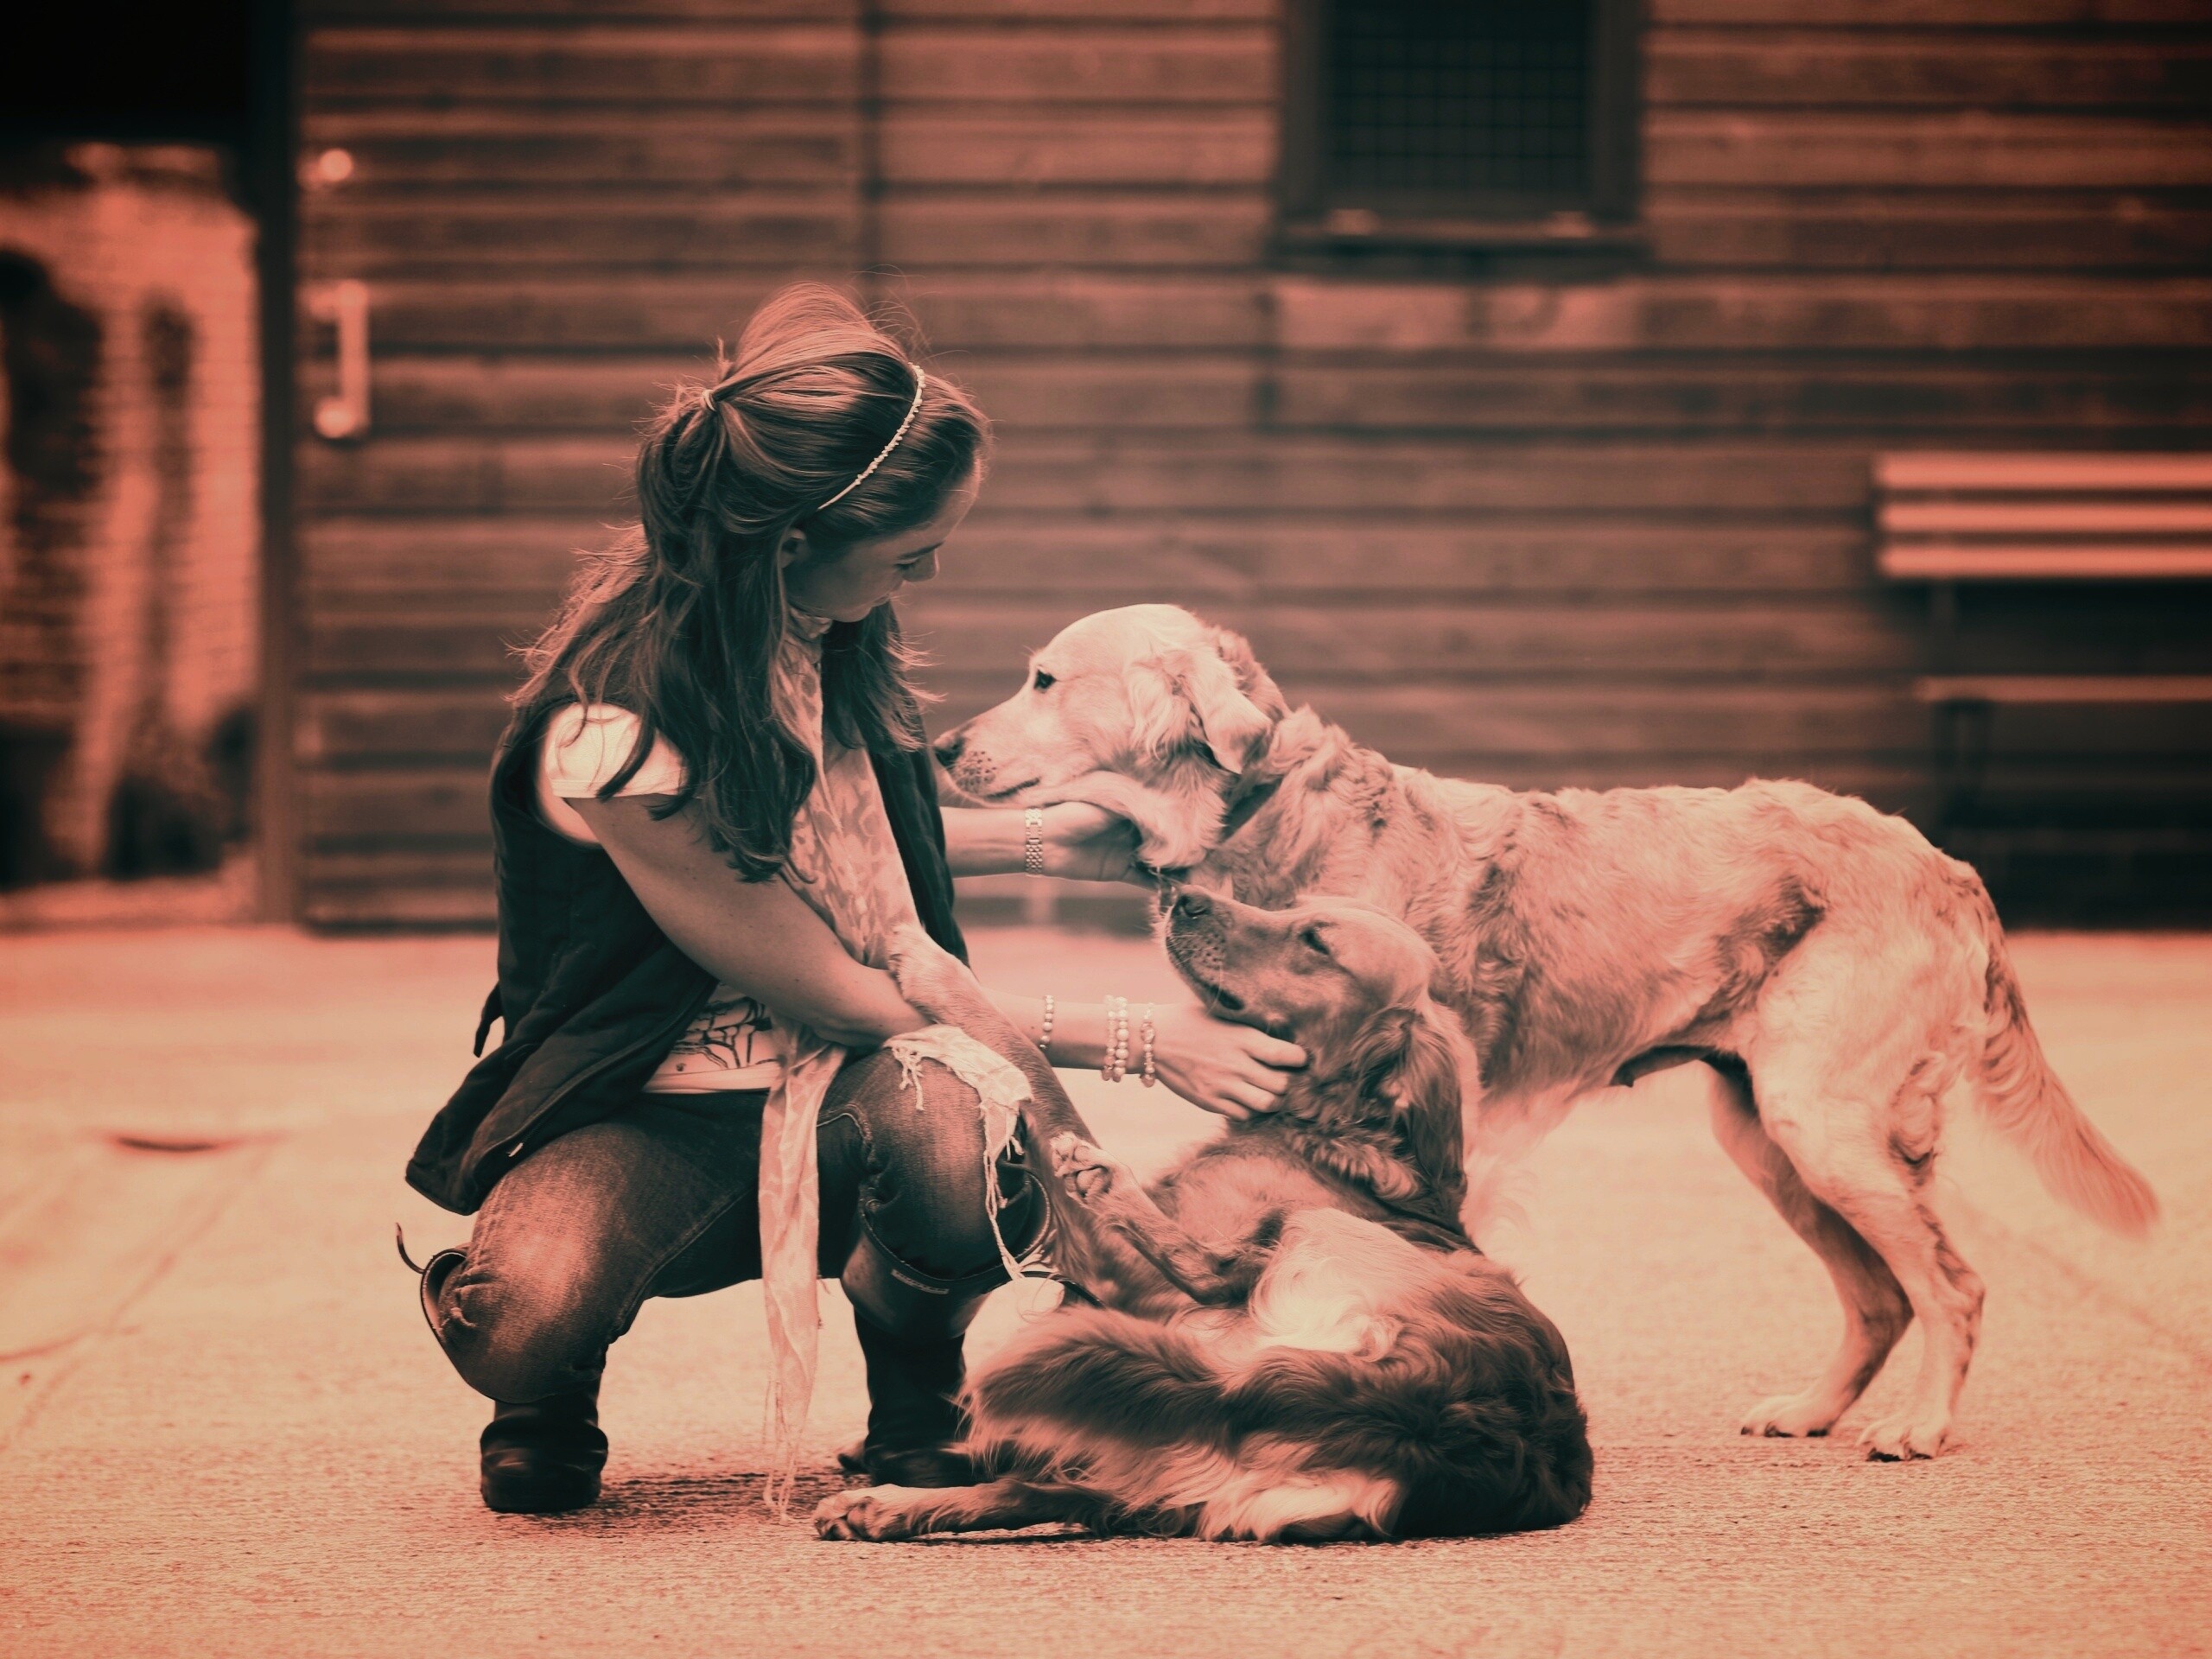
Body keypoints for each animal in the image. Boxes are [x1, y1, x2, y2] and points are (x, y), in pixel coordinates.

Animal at [812, 900, 1593, 1543]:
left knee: (1208, 1269)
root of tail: (1434, 1411)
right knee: (1046, 1489)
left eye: (1315, 940)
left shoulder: (1125, 1277)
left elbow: (1032, 1066)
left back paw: (1108, 1182)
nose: (1183, 896)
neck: (1331, 1128)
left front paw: (936, 967)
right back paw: (888, 1502)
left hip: (1303, 1236)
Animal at [932, 603, 2160, 1461]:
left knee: (1951, 1286)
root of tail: (1945, 862)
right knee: (1879, 1296)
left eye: (1043, 678)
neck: (1264, 811)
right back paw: (1811, 1410)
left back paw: (1919, 1427)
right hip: (1767, 1136)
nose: (939, 750)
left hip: (1823, 1126)